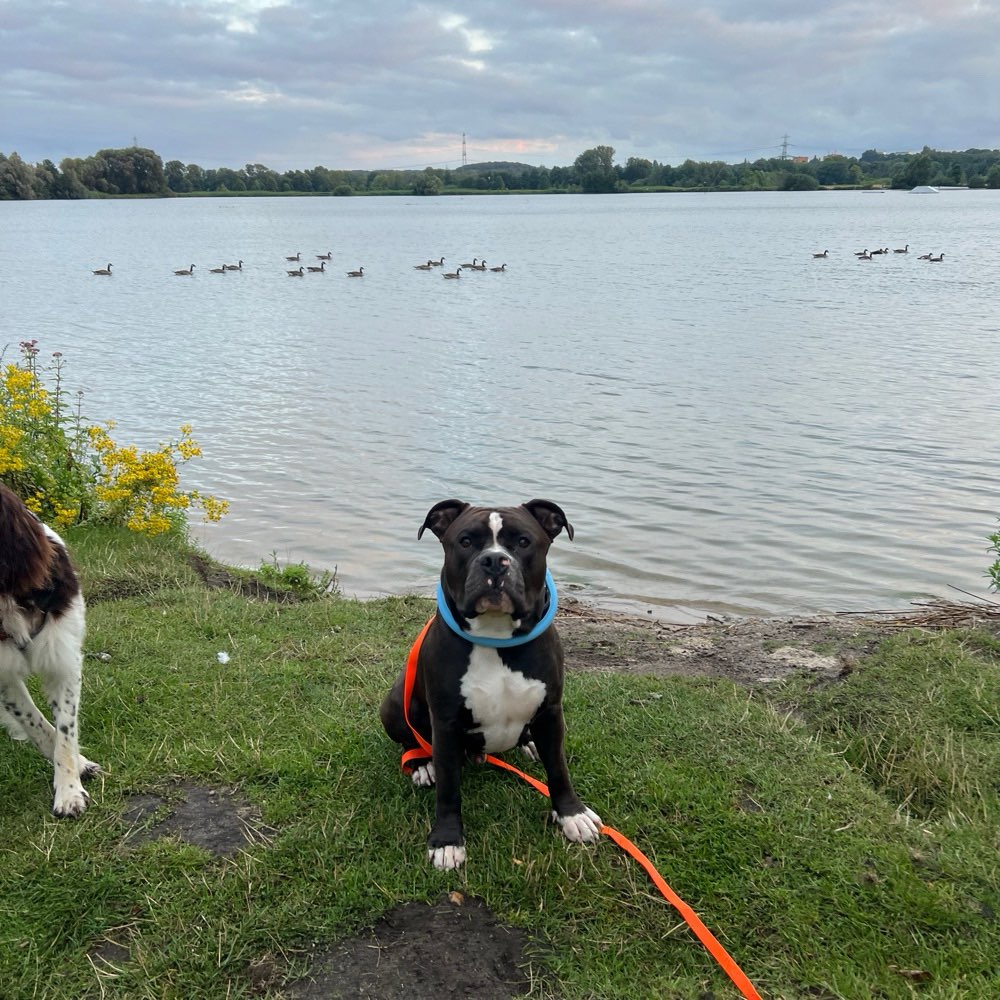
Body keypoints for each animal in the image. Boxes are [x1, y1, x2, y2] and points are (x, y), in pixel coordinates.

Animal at [380, 500, 600, 868]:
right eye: (466, 541)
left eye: (523, 542)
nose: (495, 561)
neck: (495, 636)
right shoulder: (446, 724)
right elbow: (449, 789)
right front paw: (447, 840)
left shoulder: (551, 712)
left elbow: (559, 768)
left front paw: (572, 814)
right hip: (395, 702)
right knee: (412, 739)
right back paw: (422, 765)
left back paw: (528, 743)